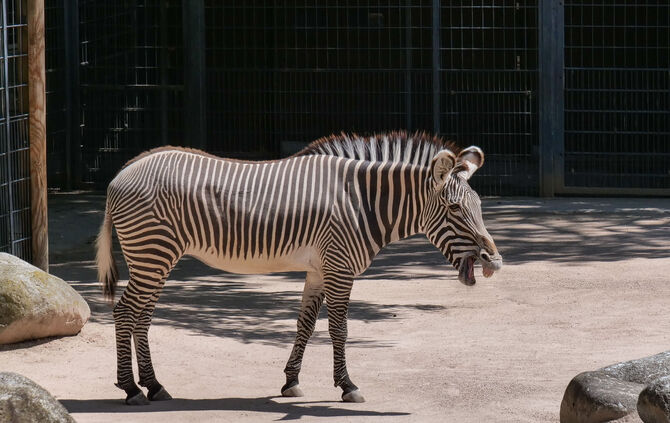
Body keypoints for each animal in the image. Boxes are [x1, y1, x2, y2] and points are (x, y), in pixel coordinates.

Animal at [96, 131, 502, 405]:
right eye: (454, 209)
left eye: (480, 206)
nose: (495, 263)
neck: (364, 204)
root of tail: (122, 172)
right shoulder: (339, 266)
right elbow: (339, 328)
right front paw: (348, 386)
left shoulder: (321, 268)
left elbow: (305, 324)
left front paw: (290, 381)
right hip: (152, 252)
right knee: (125, 312)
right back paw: (130, 389)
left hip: (156, 257)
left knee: (142, 317)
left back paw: (154, 385)